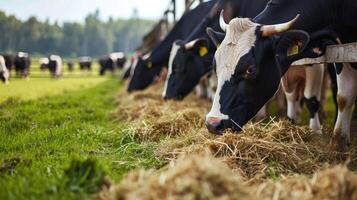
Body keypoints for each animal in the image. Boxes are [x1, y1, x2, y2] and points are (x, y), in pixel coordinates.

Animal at [204, 0, 357, 150]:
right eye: (215, 66)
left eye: (250, 70)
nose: (213, 123)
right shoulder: (340, 51)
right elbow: (343, 97)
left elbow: (331, 97)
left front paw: (325, 138)